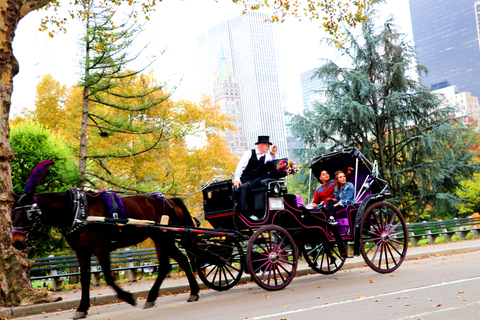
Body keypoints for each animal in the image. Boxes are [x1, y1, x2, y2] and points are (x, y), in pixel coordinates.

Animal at [11, 161, 200, 318]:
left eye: (29, 214)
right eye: (12, 215)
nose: (16, 242)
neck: (78, 210)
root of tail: (169, 200)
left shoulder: (100, 247)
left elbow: (108, 277)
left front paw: (127, 297)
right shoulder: (82, 251)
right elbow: (85, 278)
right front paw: (82, 308)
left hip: (164, 237)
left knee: (173, 263)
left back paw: (176, 293)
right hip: (161, 238)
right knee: (176, 262)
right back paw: (181, 293)